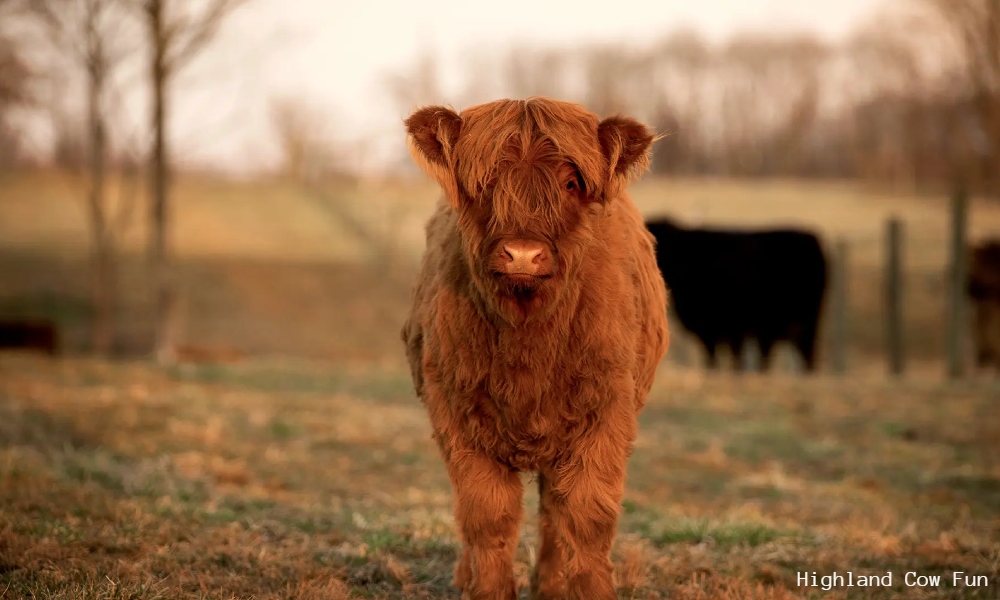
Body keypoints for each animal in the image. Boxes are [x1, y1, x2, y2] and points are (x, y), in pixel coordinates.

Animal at [400, 96, 672, 596]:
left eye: (570, 182)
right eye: (486, 182)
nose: (522, 255)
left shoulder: (605, 414)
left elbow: (585, 519)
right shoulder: (457, 415)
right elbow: (487, 518)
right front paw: (486, 590)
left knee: (553, 512)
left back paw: (549, 584)